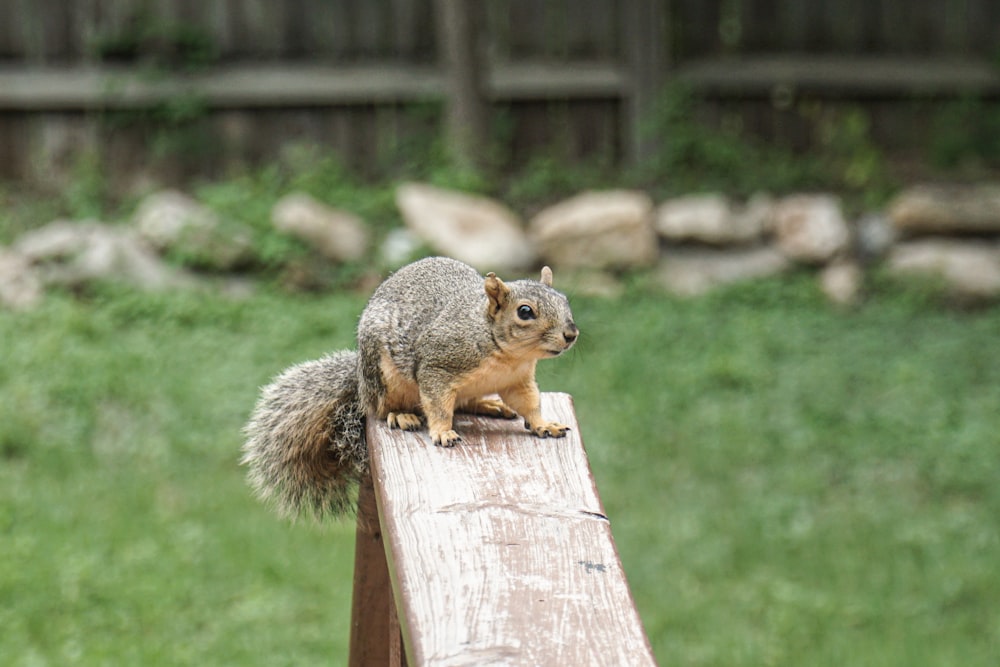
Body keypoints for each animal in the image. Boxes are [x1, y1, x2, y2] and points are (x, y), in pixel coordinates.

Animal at [241, 258, 580, 520]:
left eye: (565, 301)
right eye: (525, 312)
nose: (571, 334)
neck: (505, 353)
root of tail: (361, 384)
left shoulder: (517, 381)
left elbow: (529, 404)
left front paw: (544, 424)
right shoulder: (437, 368)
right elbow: (439, 405)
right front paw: (442, 432)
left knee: (465, 403)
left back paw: (489, 405)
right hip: (384, 378)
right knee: (382, 410)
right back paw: (402, 415)